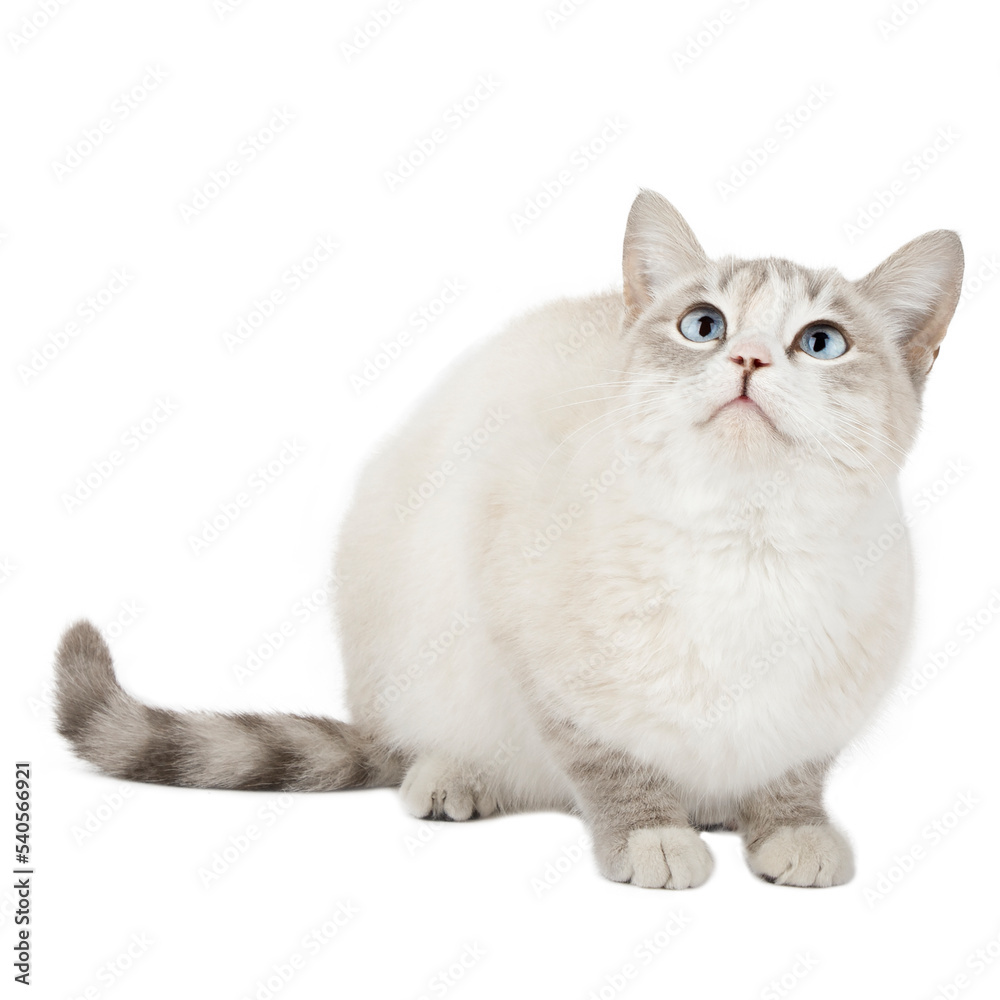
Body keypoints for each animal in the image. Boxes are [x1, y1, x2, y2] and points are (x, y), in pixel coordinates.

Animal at [54, 191, 960, 888]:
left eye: (821, 343)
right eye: (704, 325)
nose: (746, 359)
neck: (744, 544)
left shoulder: (822, 709)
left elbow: (792, 775)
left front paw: (792, 832)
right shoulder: (536, 649)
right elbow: (610, 764)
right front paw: (652, 836)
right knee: (410, 748)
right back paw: (453, 779)